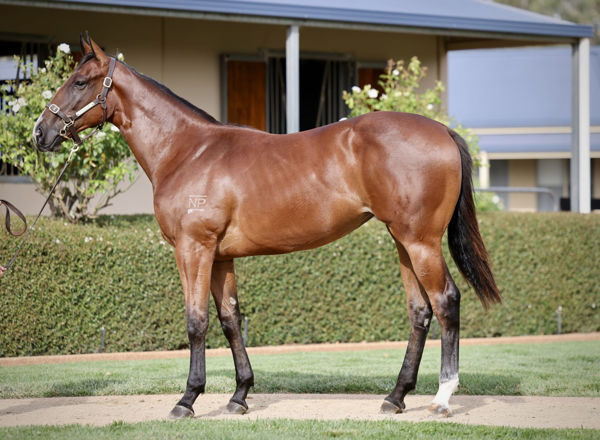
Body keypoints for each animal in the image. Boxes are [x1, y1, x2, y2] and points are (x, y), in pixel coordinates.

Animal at [34, 36, 502, 418]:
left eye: (80, 82)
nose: (41, 132)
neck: (188, 151)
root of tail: (442, 130)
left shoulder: (193, 248)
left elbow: (196, 320)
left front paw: (187, 400)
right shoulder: (220, 256)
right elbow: (229, 319)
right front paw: (239, 396)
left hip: (420, 242)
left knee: (446, 302)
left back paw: (442, 399)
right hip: (403, 241)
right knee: (420, 311)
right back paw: (396, 397)